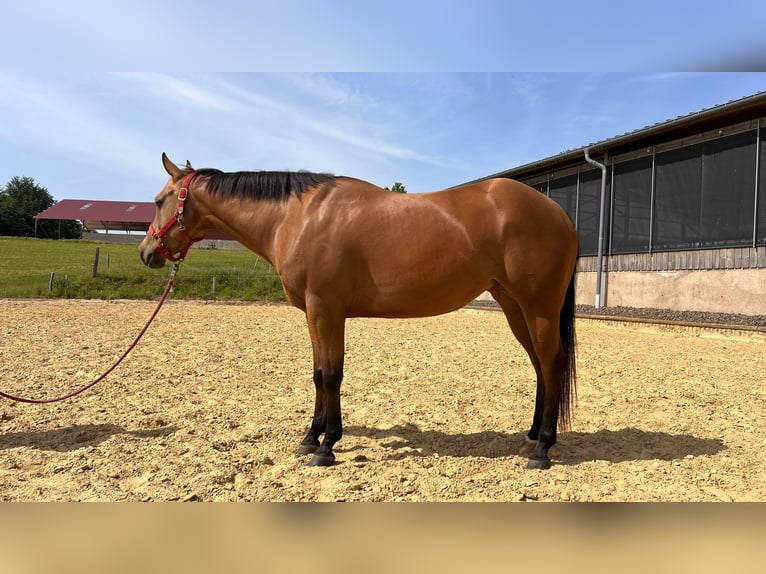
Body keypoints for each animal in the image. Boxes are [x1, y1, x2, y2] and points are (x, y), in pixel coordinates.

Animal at [139, 153, 578, 470]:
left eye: (159, 201)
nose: (146, 253)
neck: (298, 217)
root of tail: (559, 212)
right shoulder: (314, 314)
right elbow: (318, 374)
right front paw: (311, 438)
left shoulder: (326, 310)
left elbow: (332, 375)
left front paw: (327, 447)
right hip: (514, 306)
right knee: (540, 366)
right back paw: (532, 435)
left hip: (538, 306)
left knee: (552, 363)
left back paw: (542, 450)